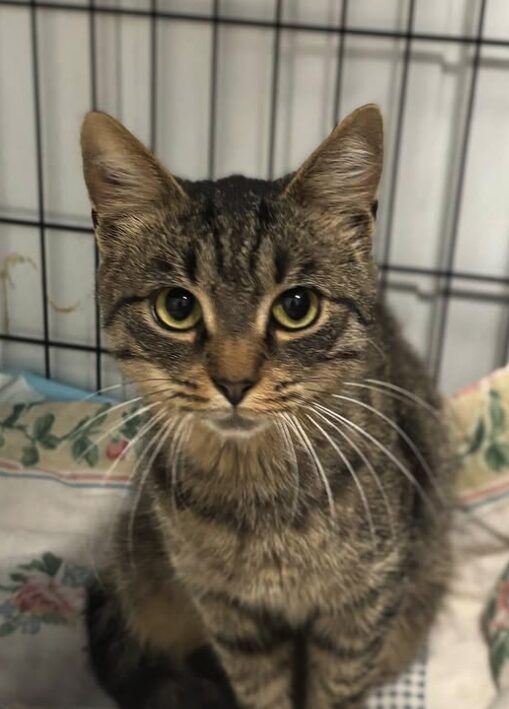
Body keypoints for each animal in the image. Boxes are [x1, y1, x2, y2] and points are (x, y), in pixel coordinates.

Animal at [79, 105, 452, 708]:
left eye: (297, 307)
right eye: (176, 306)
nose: (234, 381)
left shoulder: (362, 610)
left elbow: (336, 691)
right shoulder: (231, 616)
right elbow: (261, 690)